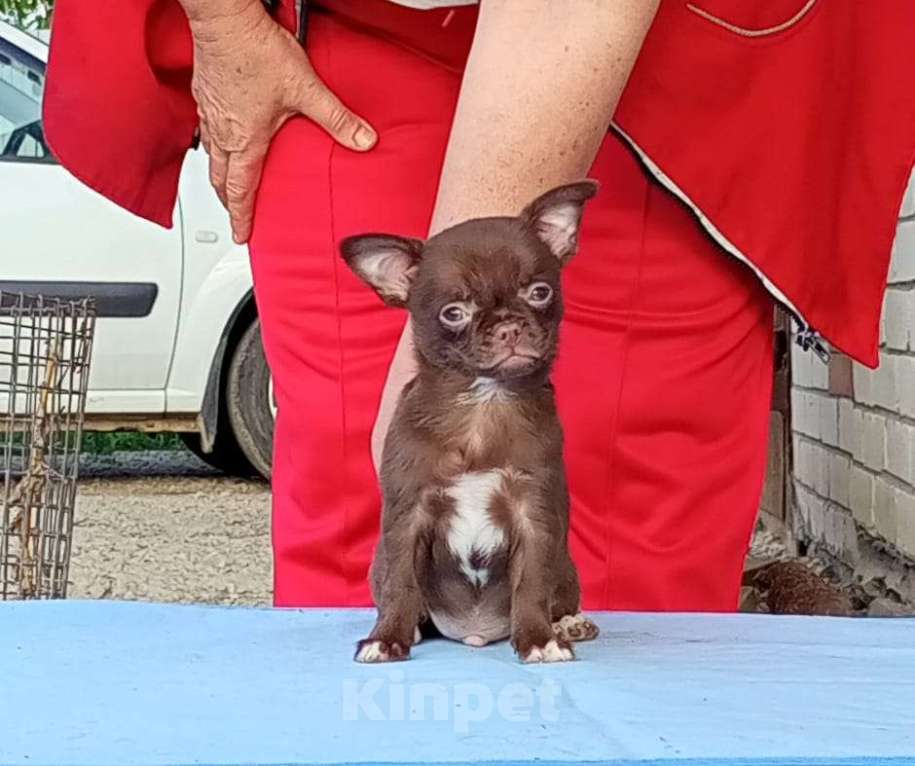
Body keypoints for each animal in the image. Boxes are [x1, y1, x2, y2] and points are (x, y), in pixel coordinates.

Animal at [340, 182, 596, 664]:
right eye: (454, 313)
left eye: (539, 292)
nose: (509, 326)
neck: (483, 404)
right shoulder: (408, 516)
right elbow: (401, 583)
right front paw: (388, 637)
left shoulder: (534, 515)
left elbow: (531, 583)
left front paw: (539, 639)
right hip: (377, 561)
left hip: (567, 565)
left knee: (558, 591)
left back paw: (567, 621)